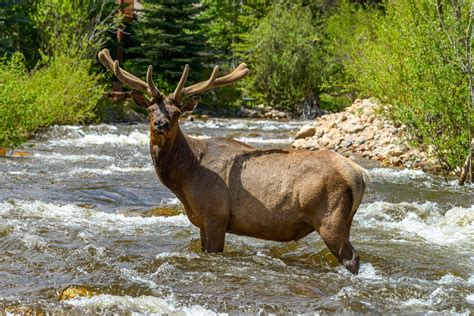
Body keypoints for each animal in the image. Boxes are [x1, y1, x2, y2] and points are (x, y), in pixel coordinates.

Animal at [98, 49, 368, 274]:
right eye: (150, 110)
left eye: (177, 113)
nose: (161, 124)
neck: (185, 178)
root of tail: (360, 175)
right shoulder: (202, 221)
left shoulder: (216, 214)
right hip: (346, 220)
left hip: (330, 218)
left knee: (351, 257)